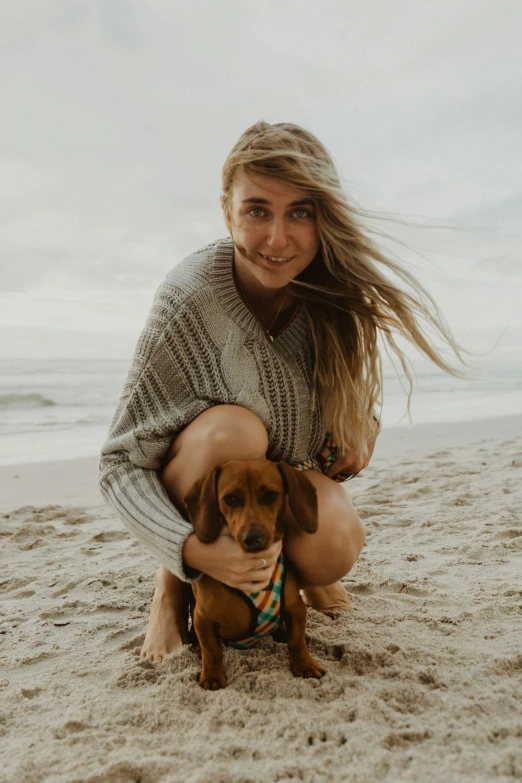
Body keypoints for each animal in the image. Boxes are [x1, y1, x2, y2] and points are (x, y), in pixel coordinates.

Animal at [183, 460, 324, 692]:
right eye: (230, 498)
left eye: (270, 495)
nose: (253, 539)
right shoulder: (202, 618)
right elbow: (211, 650)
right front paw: (212, 675)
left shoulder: (296, 607)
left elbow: (297, 640)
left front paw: (305, 664)